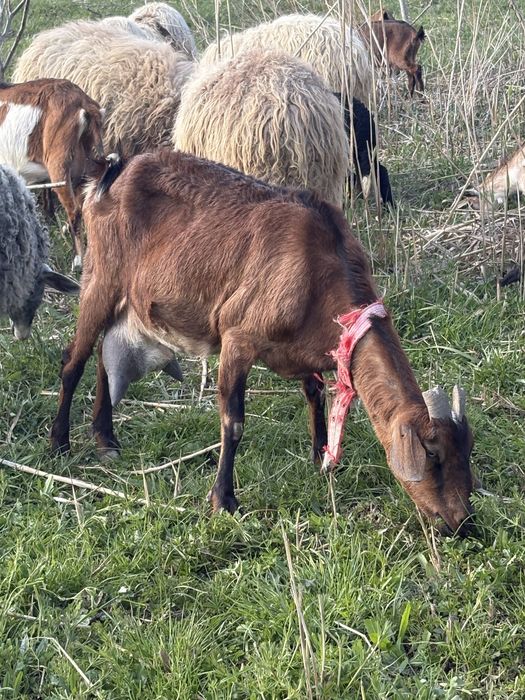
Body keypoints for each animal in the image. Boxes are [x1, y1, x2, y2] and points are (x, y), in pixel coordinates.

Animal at [50, 150, 474, 535]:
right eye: (432, 453)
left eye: (468, 450)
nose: (462, 522)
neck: (318, 271)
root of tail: (110, 173)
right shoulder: (238, 336)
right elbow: (234, 421)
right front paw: (223, 499)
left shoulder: (304, 351)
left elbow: (314, 395)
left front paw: (320, 457)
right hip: (101, 277)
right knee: (74, 358)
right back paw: (60, 443)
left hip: (125, 299)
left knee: (106, 354)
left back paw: (105, 439)